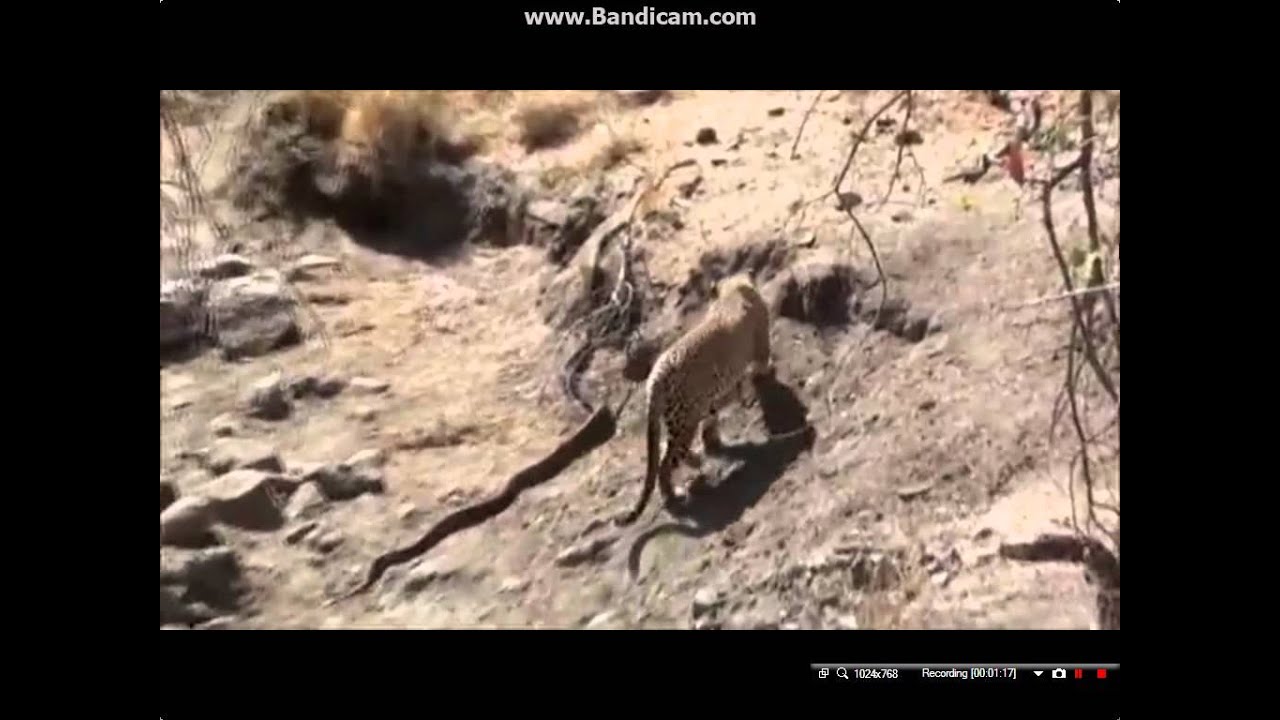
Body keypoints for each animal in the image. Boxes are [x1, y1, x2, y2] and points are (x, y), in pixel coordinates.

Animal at [615, 272, 775, 526]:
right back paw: (673, 494)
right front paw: (767, 372)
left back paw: (695, 460)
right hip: (683, 421)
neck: (733, 291)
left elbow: (715, 414)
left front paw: (713, 440)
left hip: (682, 419)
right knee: (664, 464)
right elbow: (761, 363)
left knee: (664, 449)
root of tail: (654, 378)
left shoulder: (710, 397)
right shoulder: (760, 345)